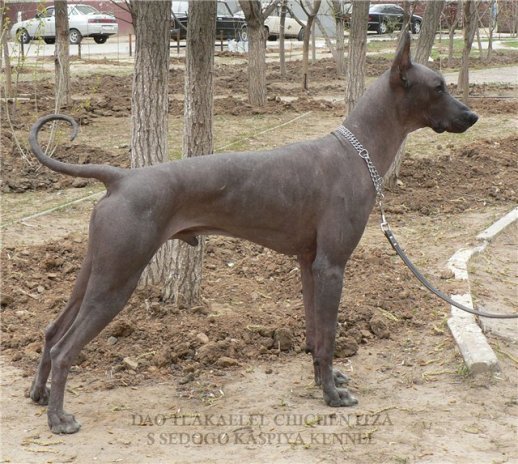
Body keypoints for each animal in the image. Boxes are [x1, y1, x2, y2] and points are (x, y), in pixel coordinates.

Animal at [26, 33, 478, 436]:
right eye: (438, 87)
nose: (472, 116)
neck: (357, 151)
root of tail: (119, 178)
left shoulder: (309, 265)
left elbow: (314, 334)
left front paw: (323, 380)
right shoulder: (332, 266)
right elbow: (329, 335)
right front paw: (332, 396)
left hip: (96, 272)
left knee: (51, 332)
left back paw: (39, 394)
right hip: (118, 281)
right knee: (65, 348)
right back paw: (58, 419)